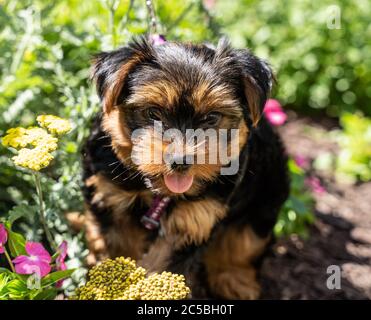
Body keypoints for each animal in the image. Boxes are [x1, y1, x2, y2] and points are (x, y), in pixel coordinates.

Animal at [81, 37, 290, 300]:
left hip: (266, 198)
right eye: (153, 112)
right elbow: (116, 247)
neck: (158, 193)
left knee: (244, 242)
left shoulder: (194, 222)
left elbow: (165, 268)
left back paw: (235, 280)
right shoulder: (108, 196)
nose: (180, 160)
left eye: (212, 118)